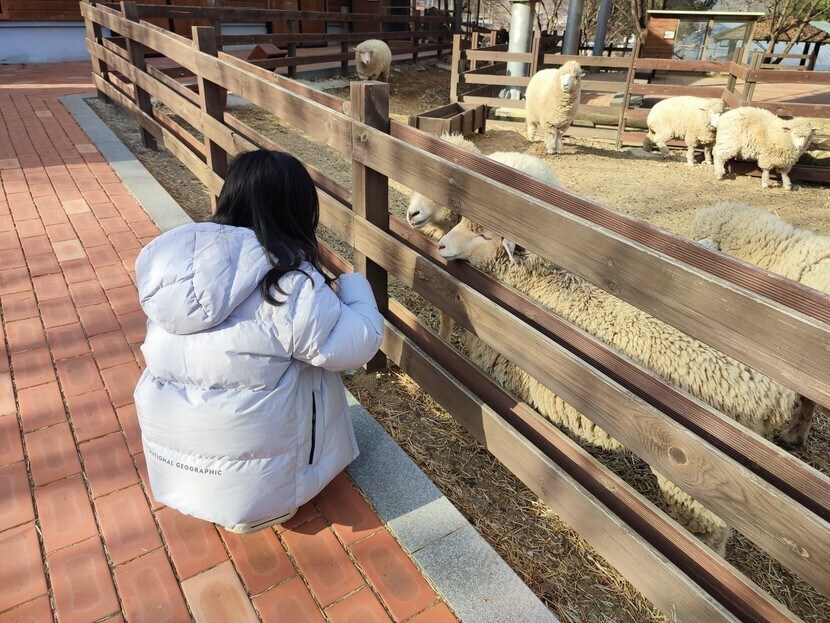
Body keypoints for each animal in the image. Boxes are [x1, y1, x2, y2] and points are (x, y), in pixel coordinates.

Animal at [436, 216, 805, 555]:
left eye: (484, 234)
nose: (439, 245)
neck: (534, 284)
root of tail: (777, 394)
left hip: (700, 477)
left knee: (708, 532)